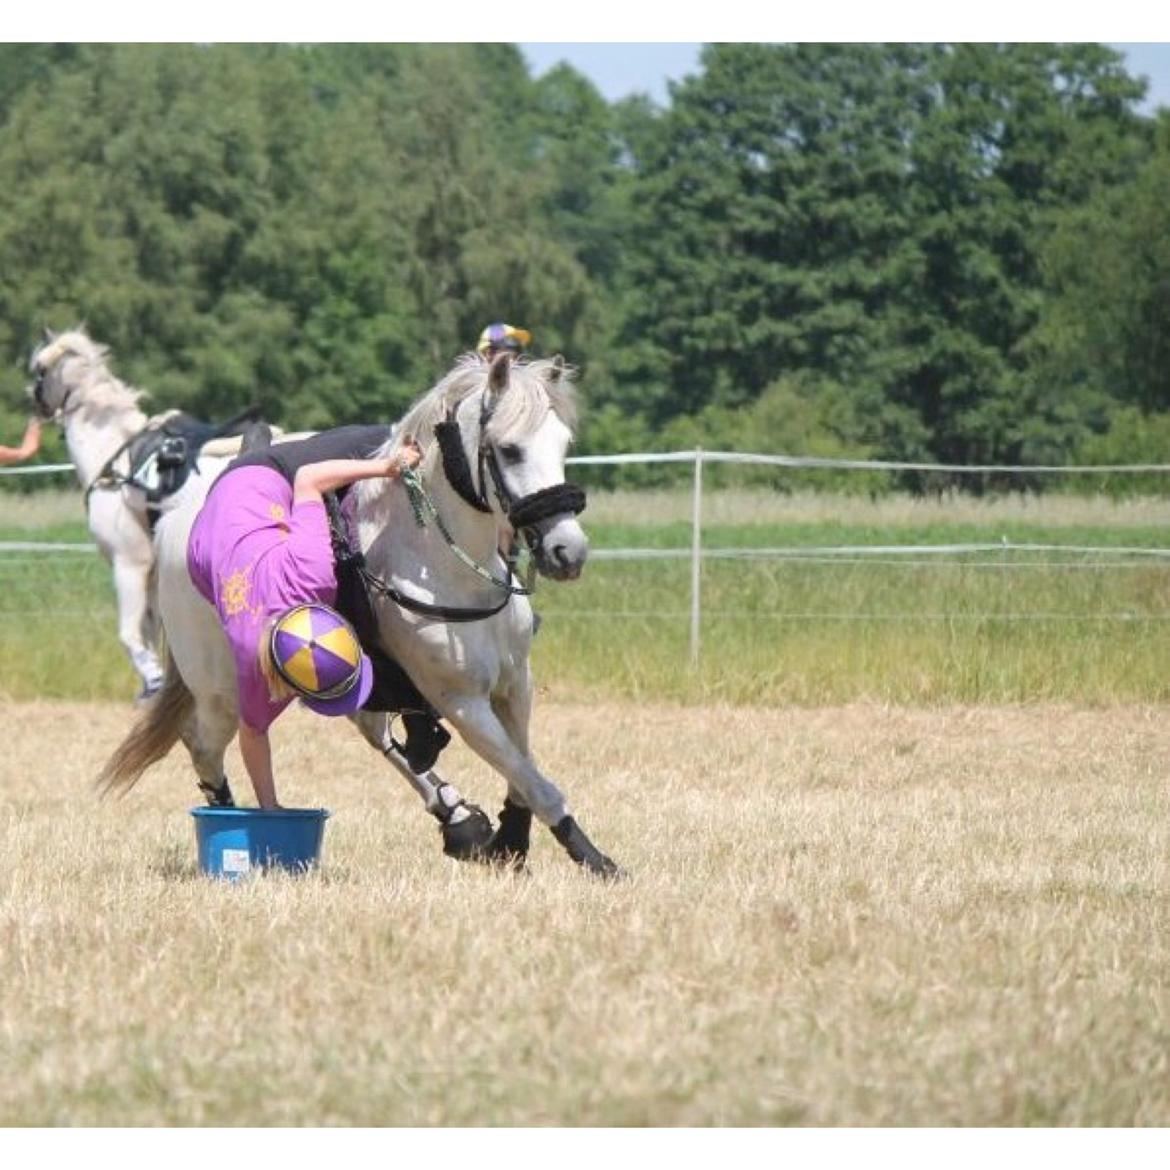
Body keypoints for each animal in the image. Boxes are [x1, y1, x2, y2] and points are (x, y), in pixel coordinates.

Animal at [26, 325, 265, 697]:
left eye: (39, 369)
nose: (34, 402)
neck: (114, 463)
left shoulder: (129, 564)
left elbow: (130, 635)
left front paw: (152, 679)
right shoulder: (154, 575)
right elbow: (151, 630)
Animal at [98, 355, 622, 879]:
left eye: (563, 444)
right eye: (510, 451)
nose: (568, 550)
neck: (441, 565)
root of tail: (174, 522)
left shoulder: (515, 684)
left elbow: (523, 768)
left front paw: (510, 837)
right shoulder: (462, 702)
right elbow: (533, 780)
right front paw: (590, 857)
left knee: (375, 733)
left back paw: (457, 819)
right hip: (222, 689)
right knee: (204, 745)